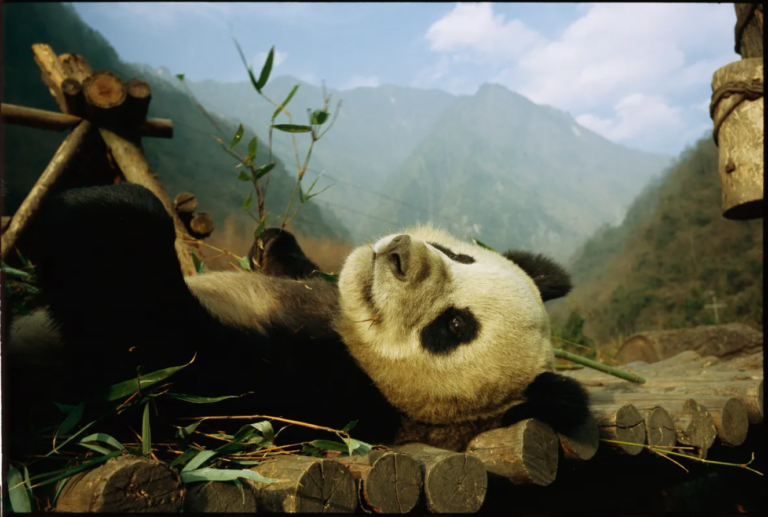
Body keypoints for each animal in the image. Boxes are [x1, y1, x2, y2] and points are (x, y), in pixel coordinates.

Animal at [4, 183, 589, 454]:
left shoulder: (329, 403)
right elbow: (304, 271)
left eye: (454, 327)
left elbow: (169, 366)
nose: (399, 253)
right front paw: (274, 243)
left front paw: (104, 218)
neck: (346, 337)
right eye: (461, 256)